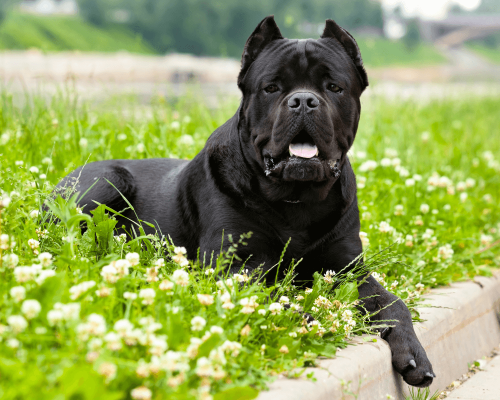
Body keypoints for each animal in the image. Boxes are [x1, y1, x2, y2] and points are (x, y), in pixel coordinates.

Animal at [55, 16, 434, 388]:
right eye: (272, 88)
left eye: (333, 87)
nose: (303, 100)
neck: (296, 199)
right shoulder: (233, 264)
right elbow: (269, 296)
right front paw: (306, 318)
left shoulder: (348, 267)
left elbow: (392, 302)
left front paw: (415, 353)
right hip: (107, 181)